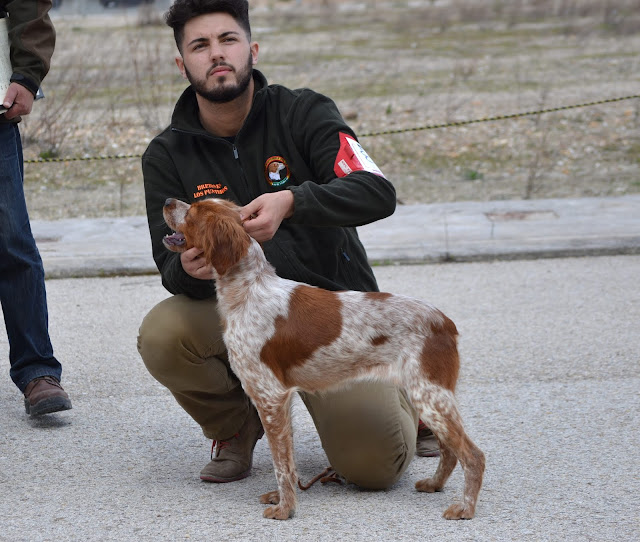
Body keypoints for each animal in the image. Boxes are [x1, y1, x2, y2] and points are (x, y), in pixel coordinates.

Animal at [162, 197, 485, 521]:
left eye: (192, 212)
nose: (167, 201)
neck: (249, 290)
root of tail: (445, 322)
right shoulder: (278, 399)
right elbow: (287, 460)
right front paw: (281, 498)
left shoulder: (270, 396)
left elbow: (281, 464)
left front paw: (285, 509)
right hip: (426, 395)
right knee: (450, 451)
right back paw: (434, 484)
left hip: (430, 396)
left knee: (473, 456)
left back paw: (464, 508)